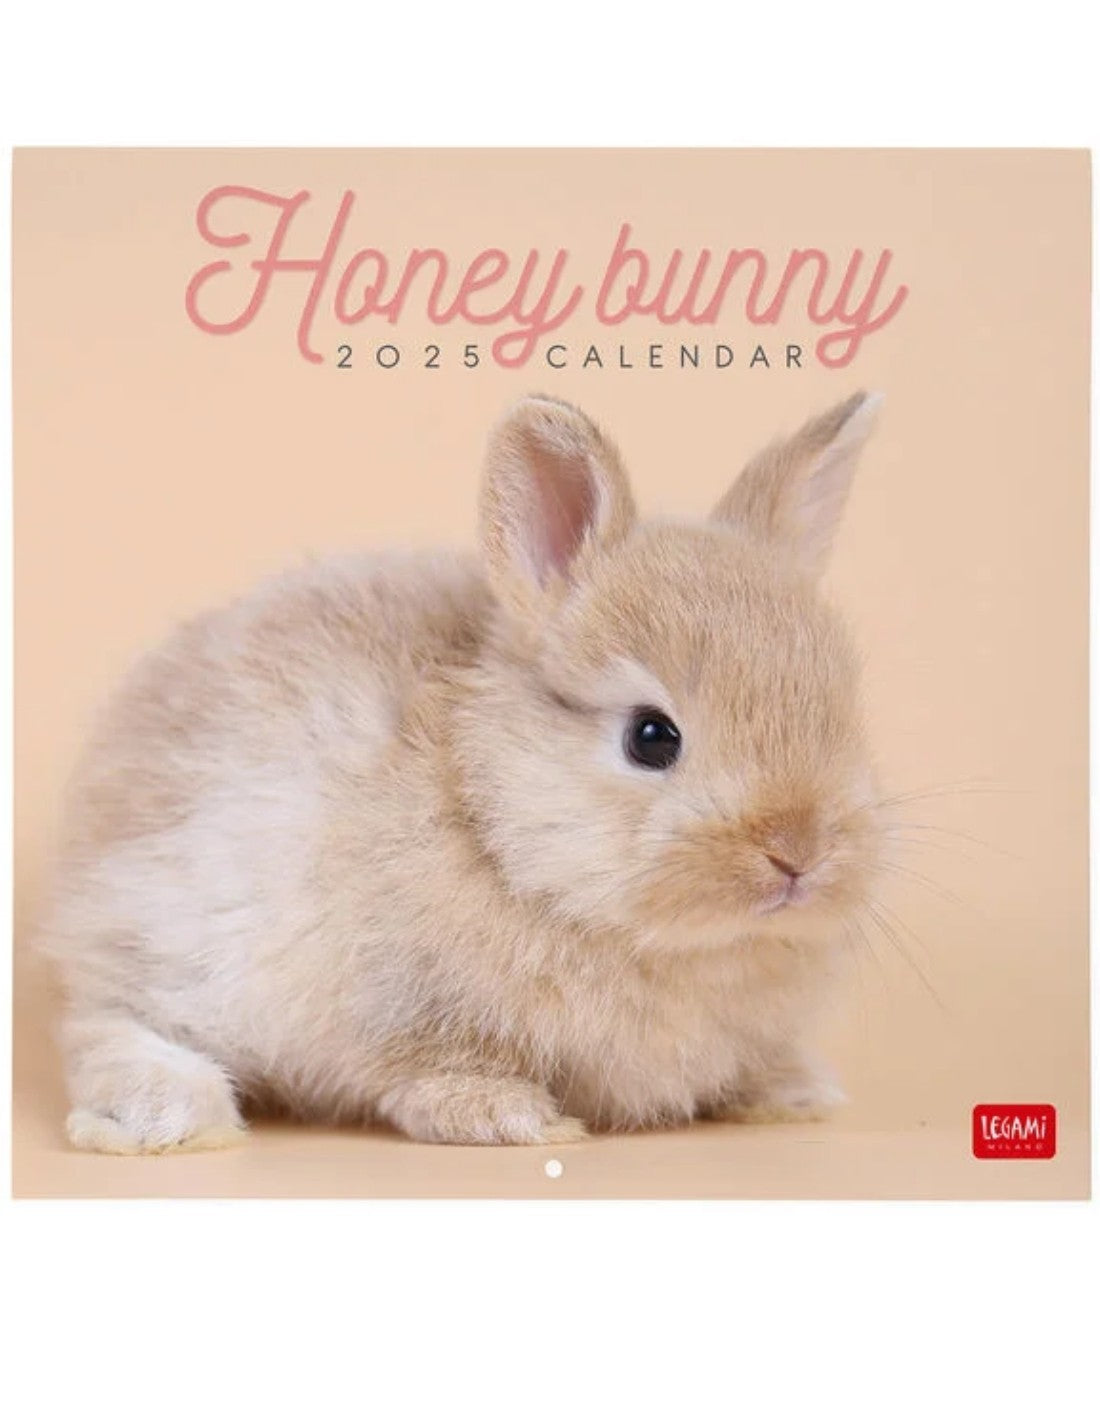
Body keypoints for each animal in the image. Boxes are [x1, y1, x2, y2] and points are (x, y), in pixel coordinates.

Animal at [35, 389, 885, 1152]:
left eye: (843, 711)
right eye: (651, 738)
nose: (798, 855)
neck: (491, 819)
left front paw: (794, 1093)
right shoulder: (394, 1004)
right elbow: (426, 1067)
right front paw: (509, 1116)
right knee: (106, 1025)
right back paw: (171, 1117)